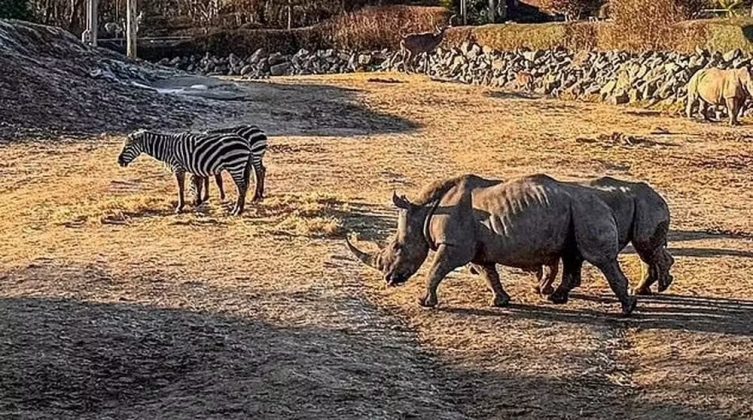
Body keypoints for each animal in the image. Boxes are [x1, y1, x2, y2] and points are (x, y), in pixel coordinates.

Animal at [117, 129, 253, 217]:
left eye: (127, 146)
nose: (119, 161)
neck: (166, 149)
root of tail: (246, 142)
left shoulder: (178, 168)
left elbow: (180, 188)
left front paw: (179, 208)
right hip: (238, 166)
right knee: (242, 187)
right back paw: (238, 210)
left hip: (235, 165)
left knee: (241, 187)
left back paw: (237, 211)